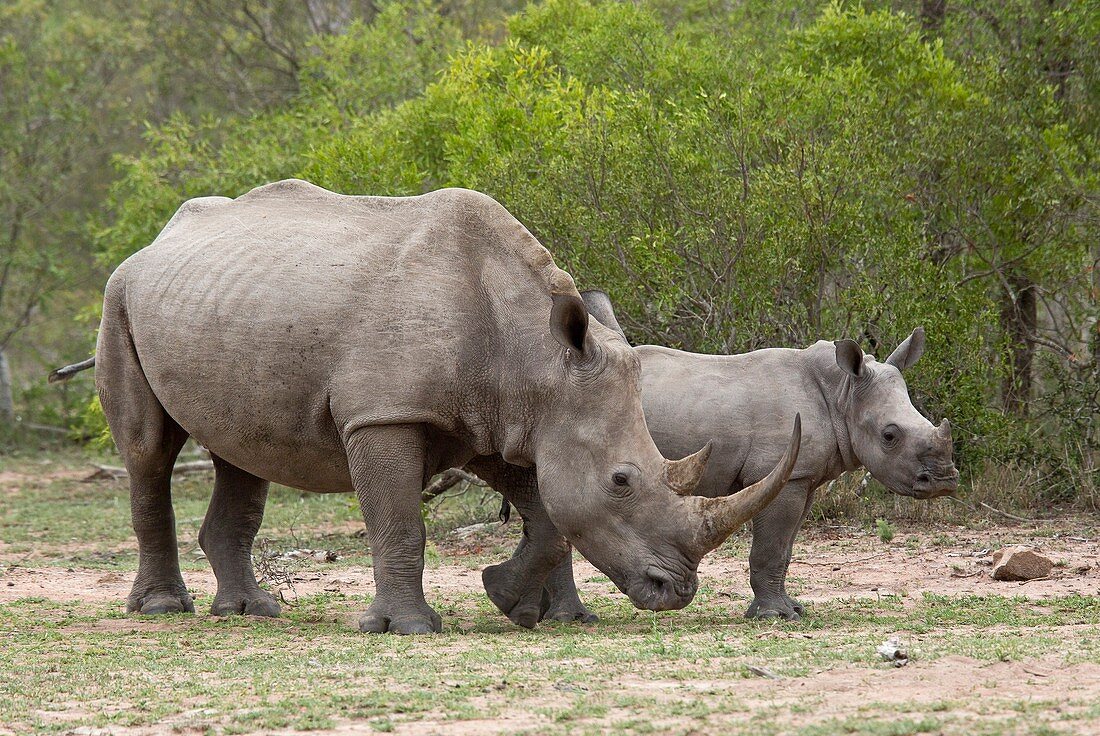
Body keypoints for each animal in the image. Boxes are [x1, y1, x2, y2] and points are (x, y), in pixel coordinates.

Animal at [55, 182, 800, 633]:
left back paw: (252, 611)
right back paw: (162, 610)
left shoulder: (503, 418)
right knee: (149, 451)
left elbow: (549, 516)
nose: (676, 591)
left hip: (225, 303)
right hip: (118, 297)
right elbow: (401, 522)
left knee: (244, 453)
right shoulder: (385, 414)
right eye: (622, 480)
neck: (535, 355)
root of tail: (154, 243)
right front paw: (408, 628)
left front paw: (508, 598)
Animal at [497, 290, 954, 624]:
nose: (946, 480)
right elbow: (771, 547)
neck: (842, 393)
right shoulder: (785, 475)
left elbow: (786, 547)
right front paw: (775, 617)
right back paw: (574, 619)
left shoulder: (803, 476)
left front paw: (794, 609)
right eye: (890, 436)